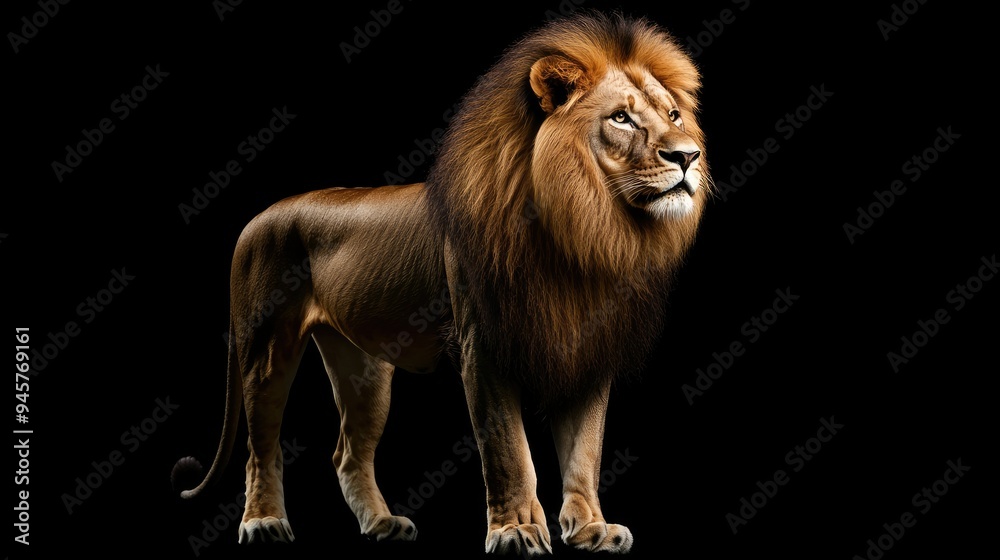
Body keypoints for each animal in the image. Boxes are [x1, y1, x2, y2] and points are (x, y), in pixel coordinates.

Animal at [175, 12, 709, 556]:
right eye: (621, 119)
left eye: (674, 114)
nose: (688, 156)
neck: (587, 232)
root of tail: (256, 219)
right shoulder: (483, 347)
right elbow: (509, 451)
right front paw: (516, 530)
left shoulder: (589, 350)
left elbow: (585, 452)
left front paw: (591, 529)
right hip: (266, 349)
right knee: (260, 445)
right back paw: (263, 522)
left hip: (363, 366)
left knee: (347, 452)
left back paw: (382, 523)